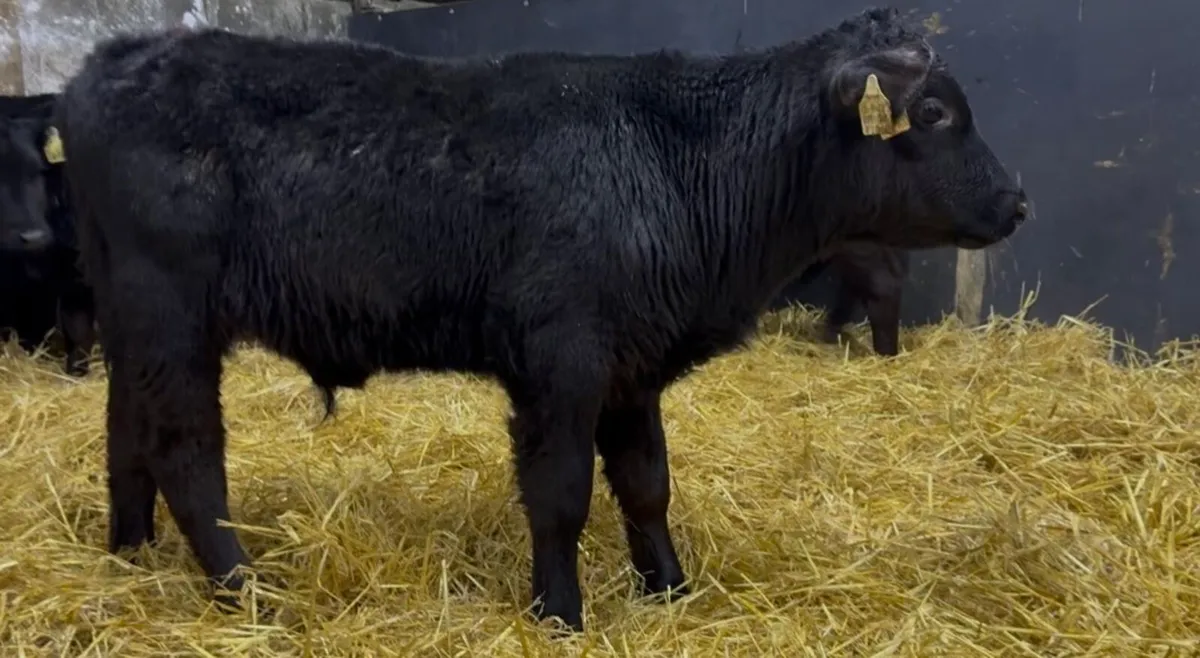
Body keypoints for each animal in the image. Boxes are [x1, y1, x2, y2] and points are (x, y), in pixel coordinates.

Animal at [55, 7, 1029, 632]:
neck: (674, 157)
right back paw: (244, 592)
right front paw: (560, 613)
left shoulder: (633, 369)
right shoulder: (561, 364)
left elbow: (645, 483)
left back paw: (128, 556)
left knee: (123, 435)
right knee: (186, 453)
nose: (1018, 199)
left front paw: (668, 589)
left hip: (132, 323)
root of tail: (111, 63)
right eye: (933, 112)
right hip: (173, 314)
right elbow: (561, 495)